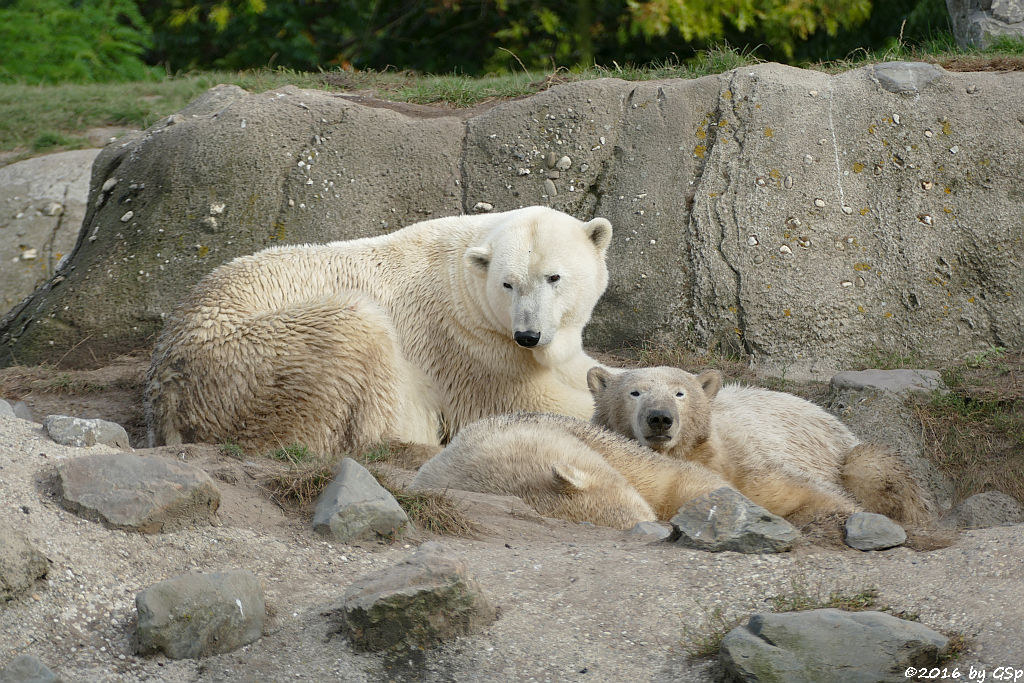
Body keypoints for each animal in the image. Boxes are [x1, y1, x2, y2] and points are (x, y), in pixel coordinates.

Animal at [143, 205, 606, 456]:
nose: (529, 335)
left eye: (554, 277)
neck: (463, 278)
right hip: (248, 362)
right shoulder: (466, 344)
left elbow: (578, 366)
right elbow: (529, 401)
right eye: (508, 283)